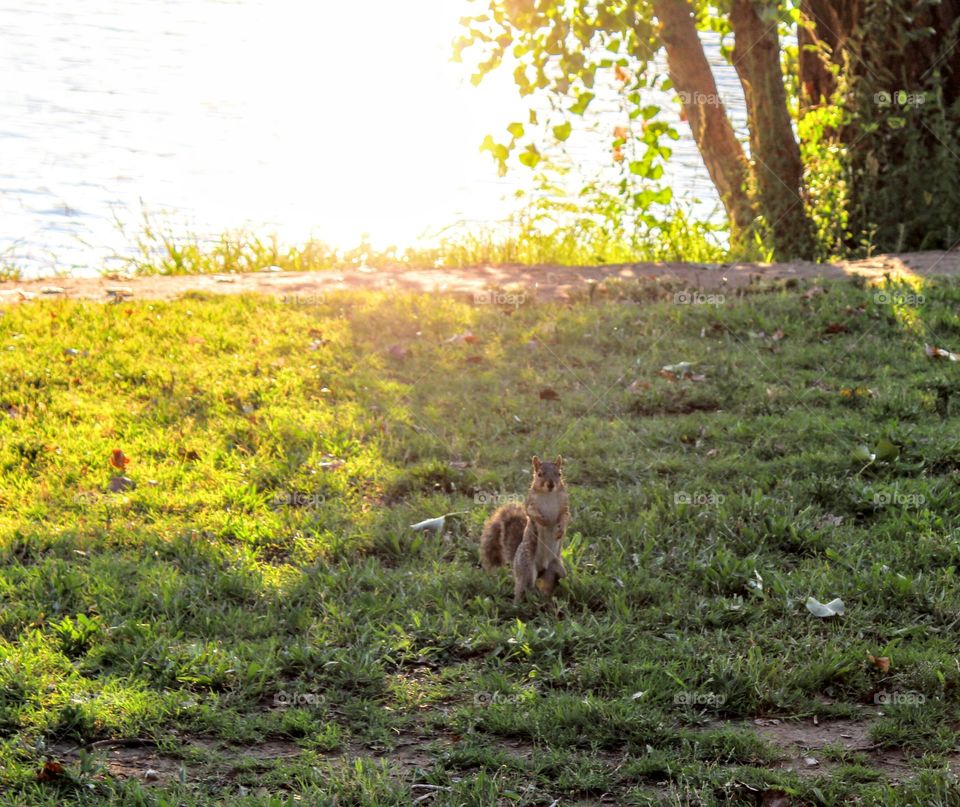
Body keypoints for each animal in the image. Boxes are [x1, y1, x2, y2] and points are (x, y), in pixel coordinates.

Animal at [479, 455, 571, 606]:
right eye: (539, 474)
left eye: (559, 474)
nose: (550, 485)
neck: (548, 495)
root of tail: (542, 569)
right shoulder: (530, 503)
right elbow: (532, 513)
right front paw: (544, 521)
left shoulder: (564, 505)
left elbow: (565, 517)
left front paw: (560, 531)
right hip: (526, 567)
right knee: (523, 587)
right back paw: (517, 606)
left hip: (556, 570)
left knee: (551, 584)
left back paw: (548, 603)